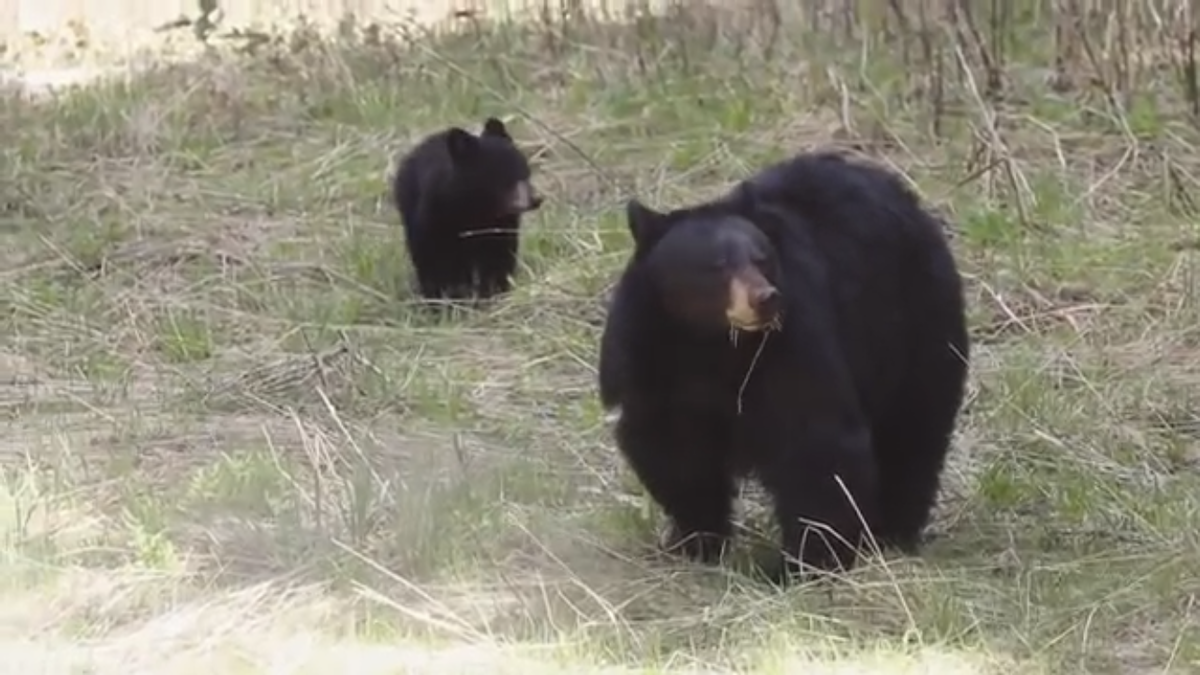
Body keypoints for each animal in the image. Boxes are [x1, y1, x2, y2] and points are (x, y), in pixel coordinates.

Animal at [391, 117, 542, 300]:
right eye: (504, 177)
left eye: (526, 171)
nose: (536, 199)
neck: (474, 210)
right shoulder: (434, 220)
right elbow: (434, 263)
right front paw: (444, 298)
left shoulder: (501, 227)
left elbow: (498, 260)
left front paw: (493, 293)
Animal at [595, 149, 969, 581]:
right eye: (717, 265)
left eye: (762, 259)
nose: (765, 298)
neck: (710, 345)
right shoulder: (647, 359)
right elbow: (673, 451)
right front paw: (695, 540)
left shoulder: (793, 341)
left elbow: (817, 439)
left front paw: (806, 562)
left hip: (917, 323)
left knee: (913, 432)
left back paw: (893, 532)